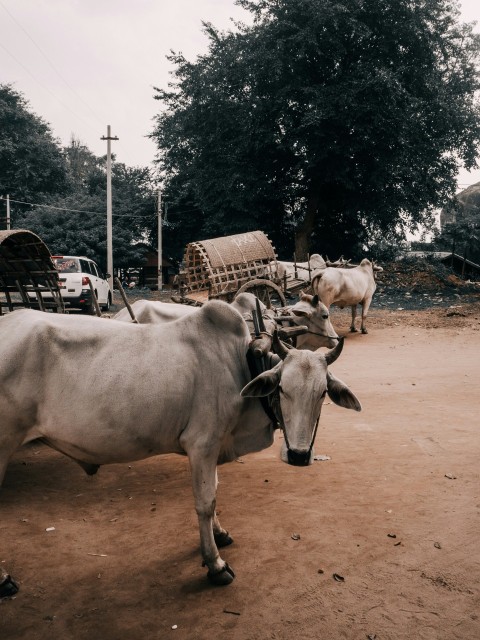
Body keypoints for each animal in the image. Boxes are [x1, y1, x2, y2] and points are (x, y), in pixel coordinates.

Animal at [0, 302, 361, 585]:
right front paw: (215, 564)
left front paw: (220, 535)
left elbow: (215, 492)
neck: (240, 363)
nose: (299, 455)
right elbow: (205, 502)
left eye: (322, 393)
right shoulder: (201, 444)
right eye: (282, 388)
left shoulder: (213, 448)